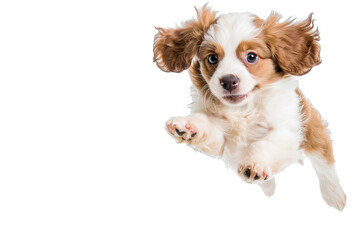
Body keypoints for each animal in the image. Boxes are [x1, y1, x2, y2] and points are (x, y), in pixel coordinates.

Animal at [153, 5, 346, 211]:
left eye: (251, 57)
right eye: (212, 58)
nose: (228, 81)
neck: (244, 108)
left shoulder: (288, 131)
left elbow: (262, 143)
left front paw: (256, 164)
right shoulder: (222, 141)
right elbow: (205, 122)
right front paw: (187, 125)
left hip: (314, 131)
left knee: (325, 165)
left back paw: (335, 196)